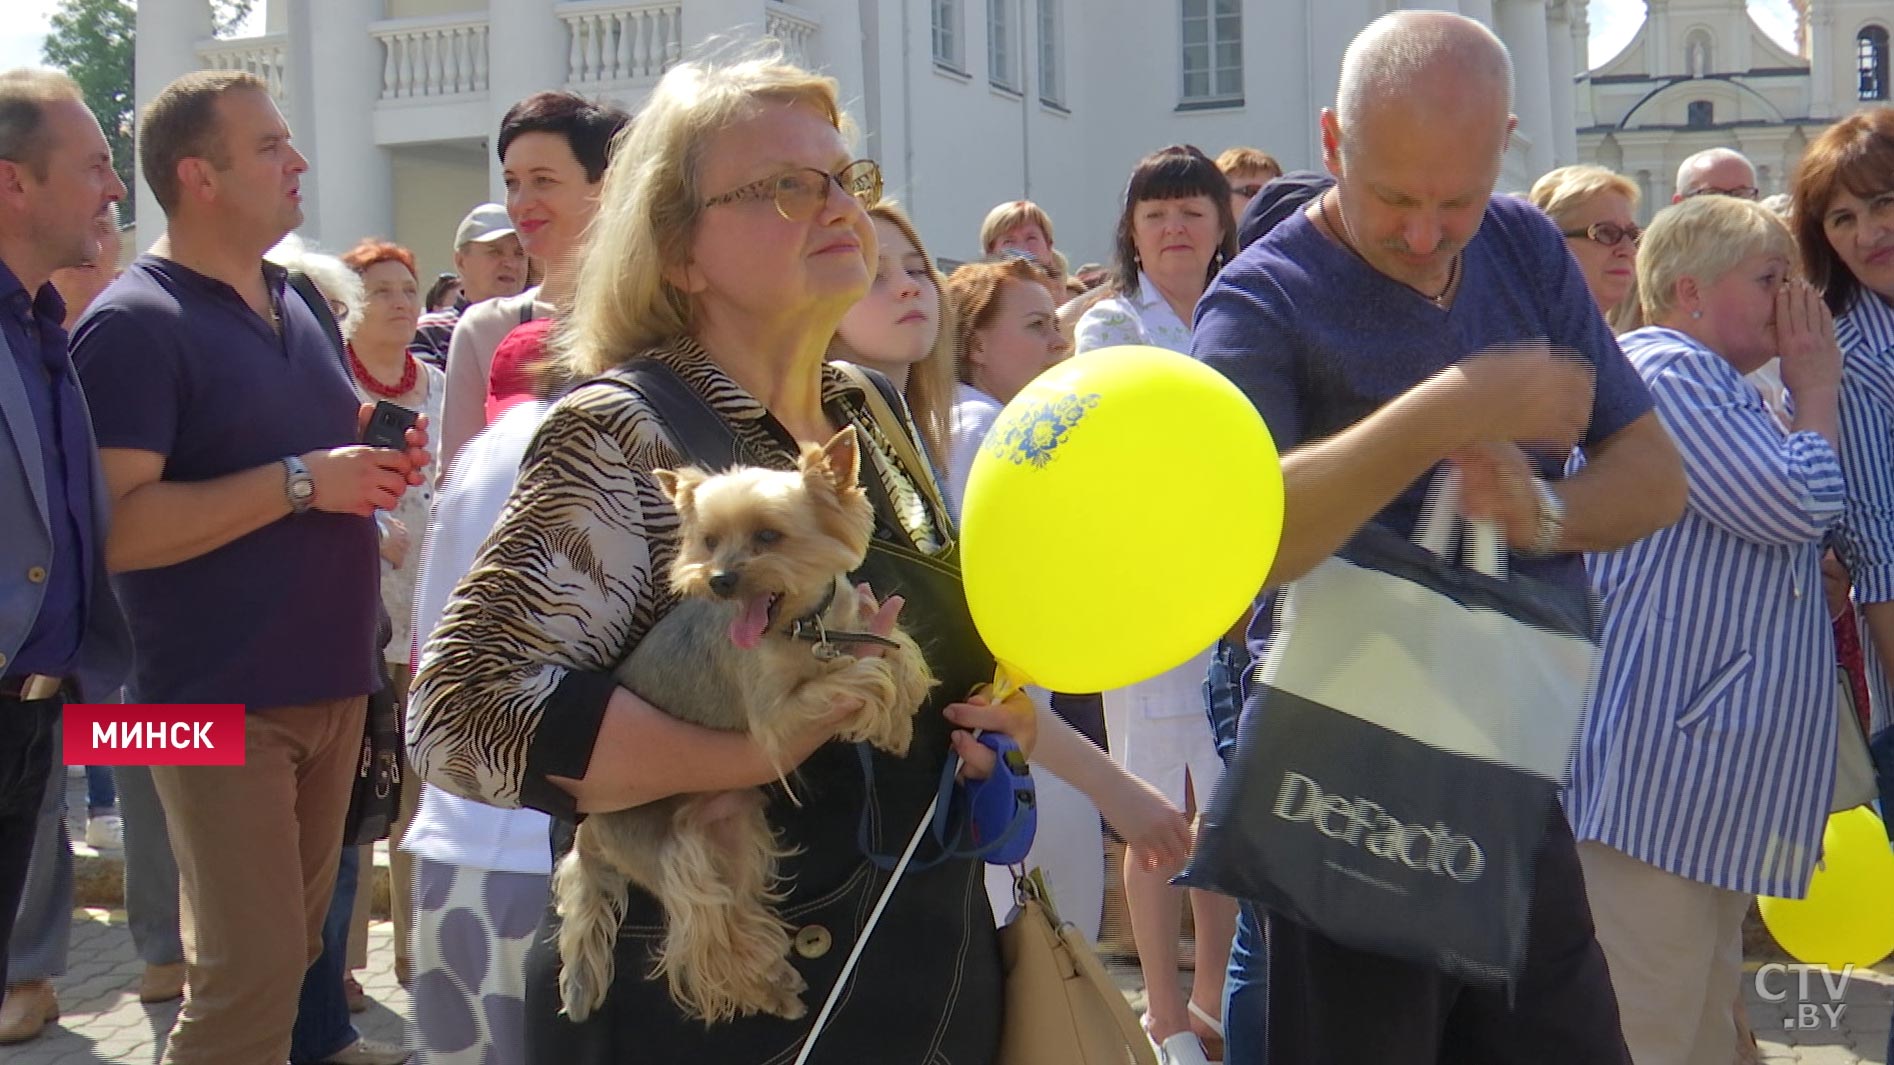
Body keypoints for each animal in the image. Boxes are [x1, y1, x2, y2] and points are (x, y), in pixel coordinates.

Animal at [553, 426, 935, 1023]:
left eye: (768, 536)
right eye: (708, 541)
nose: (720, 580)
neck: (804, 625)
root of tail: (589, 828)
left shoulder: (854, 625)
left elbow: (891, 650)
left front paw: (899, 712)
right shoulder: (777, 716)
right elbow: (864, 675)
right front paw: (885, 712)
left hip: (731, 831)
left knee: (737, 912)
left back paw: (775, 978)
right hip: (675, 854)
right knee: (709, 939)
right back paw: (769, 991)